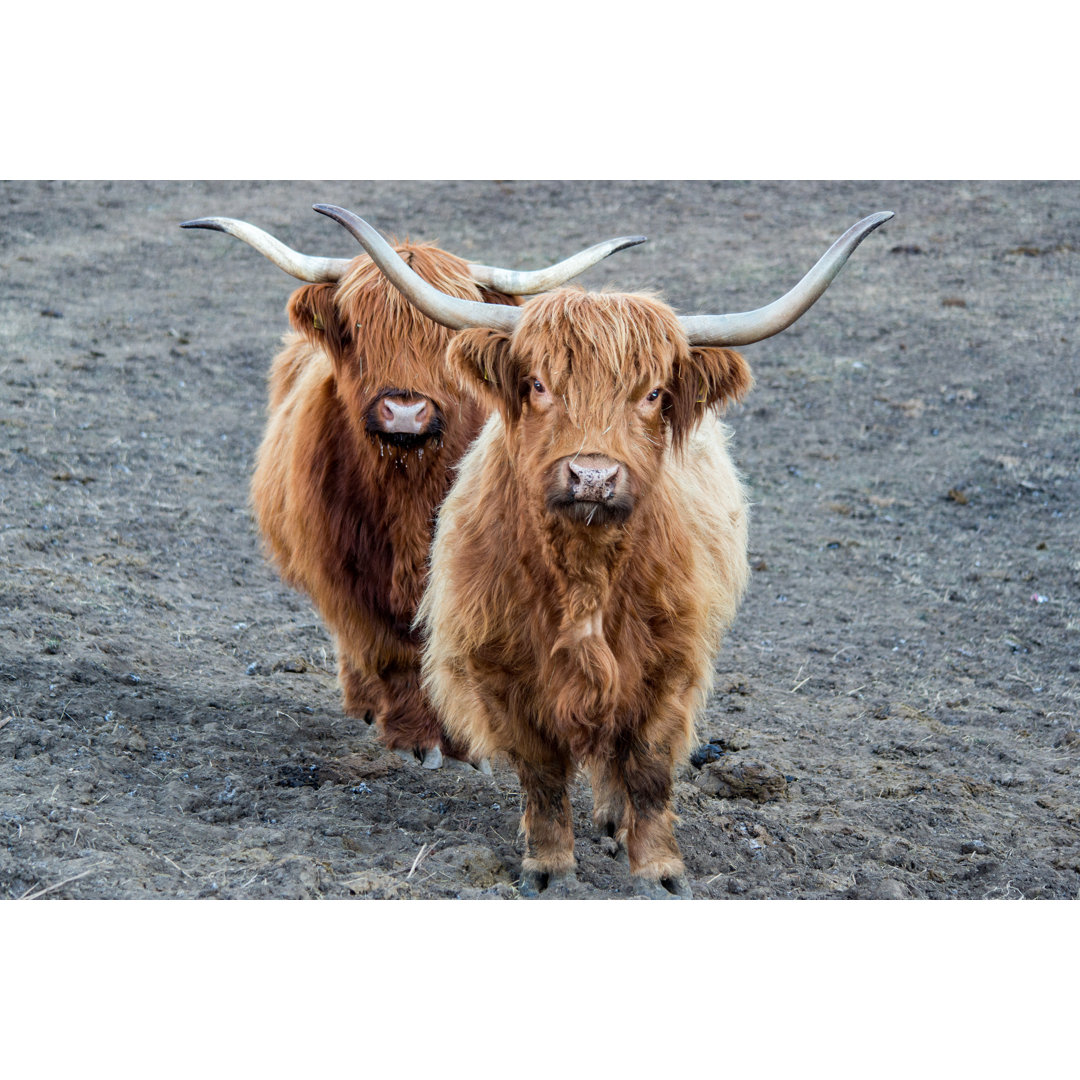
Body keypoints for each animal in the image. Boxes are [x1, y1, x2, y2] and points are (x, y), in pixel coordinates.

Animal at [180, 211, 645, 767]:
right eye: (358, 326)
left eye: (441, 336)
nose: (405, 411)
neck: (408, 482)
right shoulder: (348, 574)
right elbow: (390, 650)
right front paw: (413, 739)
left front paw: (467, 743)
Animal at [316, 203, 892, 894]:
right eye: (538, 384)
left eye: (652, 393)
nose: (592, 475)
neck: (585, 574)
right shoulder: (501, 667)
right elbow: (541, 774)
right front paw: (549, 868)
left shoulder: (670, 664)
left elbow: (647, 766)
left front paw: (660, 870)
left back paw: (617, 825)